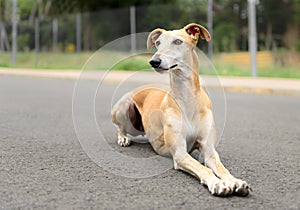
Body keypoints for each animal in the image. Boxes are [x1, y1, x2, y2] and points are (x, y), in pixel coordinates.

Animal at [111, 23, 250, 196]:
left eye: (178, 41)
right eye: (158, 43)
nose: (154, 61)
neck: (188, 99)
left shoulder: (209, 150)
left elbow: (221, 168)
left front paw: (235, 181)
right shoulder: (180, 153)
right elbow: (203, 169)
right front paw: (218, 183)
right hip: (124, 107)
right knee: (119, 127)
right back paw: (123, 138)